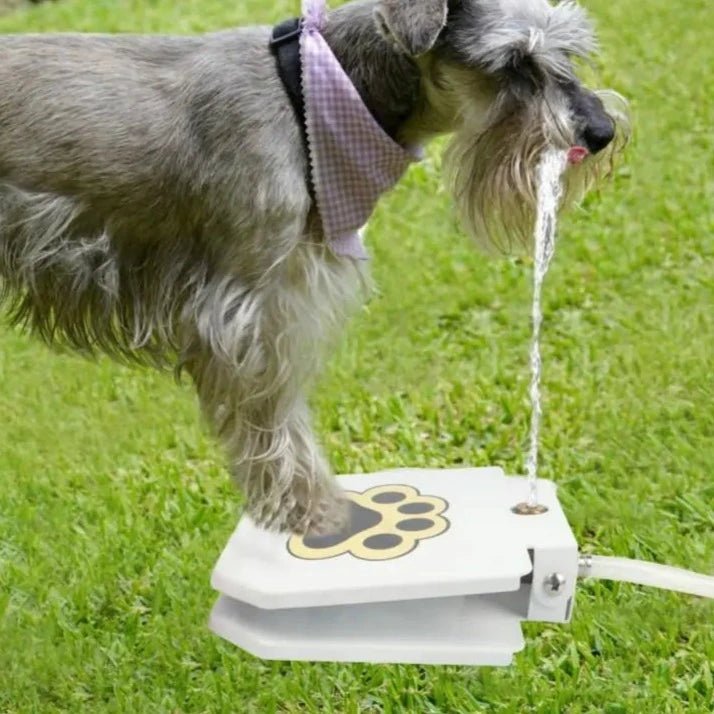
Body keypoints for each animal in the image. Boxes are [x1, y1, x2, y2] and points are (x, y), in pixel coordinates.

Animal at [0, 0, 624, 532]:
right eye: (515, 63)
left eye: (570, 50)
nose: (602, 131)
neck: (309, 98)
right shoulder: (249, 311)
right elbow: (274, 419)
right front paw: (314, 513)